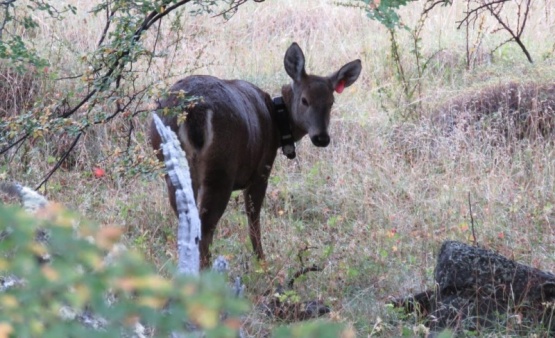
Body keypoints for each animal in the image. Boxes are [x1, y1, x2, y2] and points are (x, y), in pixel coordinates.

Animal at [150, 43, 362, 270]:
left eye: (331, 102)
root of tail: (193, 111)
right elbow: (253, 218)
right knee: (205, 227)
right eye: (305, 100)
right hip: (221, 169)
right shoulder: (261, 171)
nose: (322, 137)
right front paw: (261, 261)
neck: (275, 122)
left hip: (170, 166)